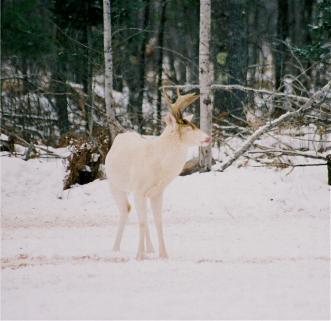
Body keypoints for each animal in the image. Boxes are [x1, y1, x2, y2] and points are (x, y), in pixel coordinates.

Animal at [105, 89, 211, 258]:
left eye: (195, 125)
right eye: (189, 129)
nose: (208, 137)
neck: (158, 167)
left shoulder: (157, 193)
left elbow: (158, 221)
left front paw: (163, 255)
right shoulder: (138, 189)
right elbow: (142, 222)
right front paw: (139, 256)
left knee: (141, 214)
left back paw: (150, 248)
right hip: (115, 185)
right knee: (126, 210)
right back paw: (115, 248)